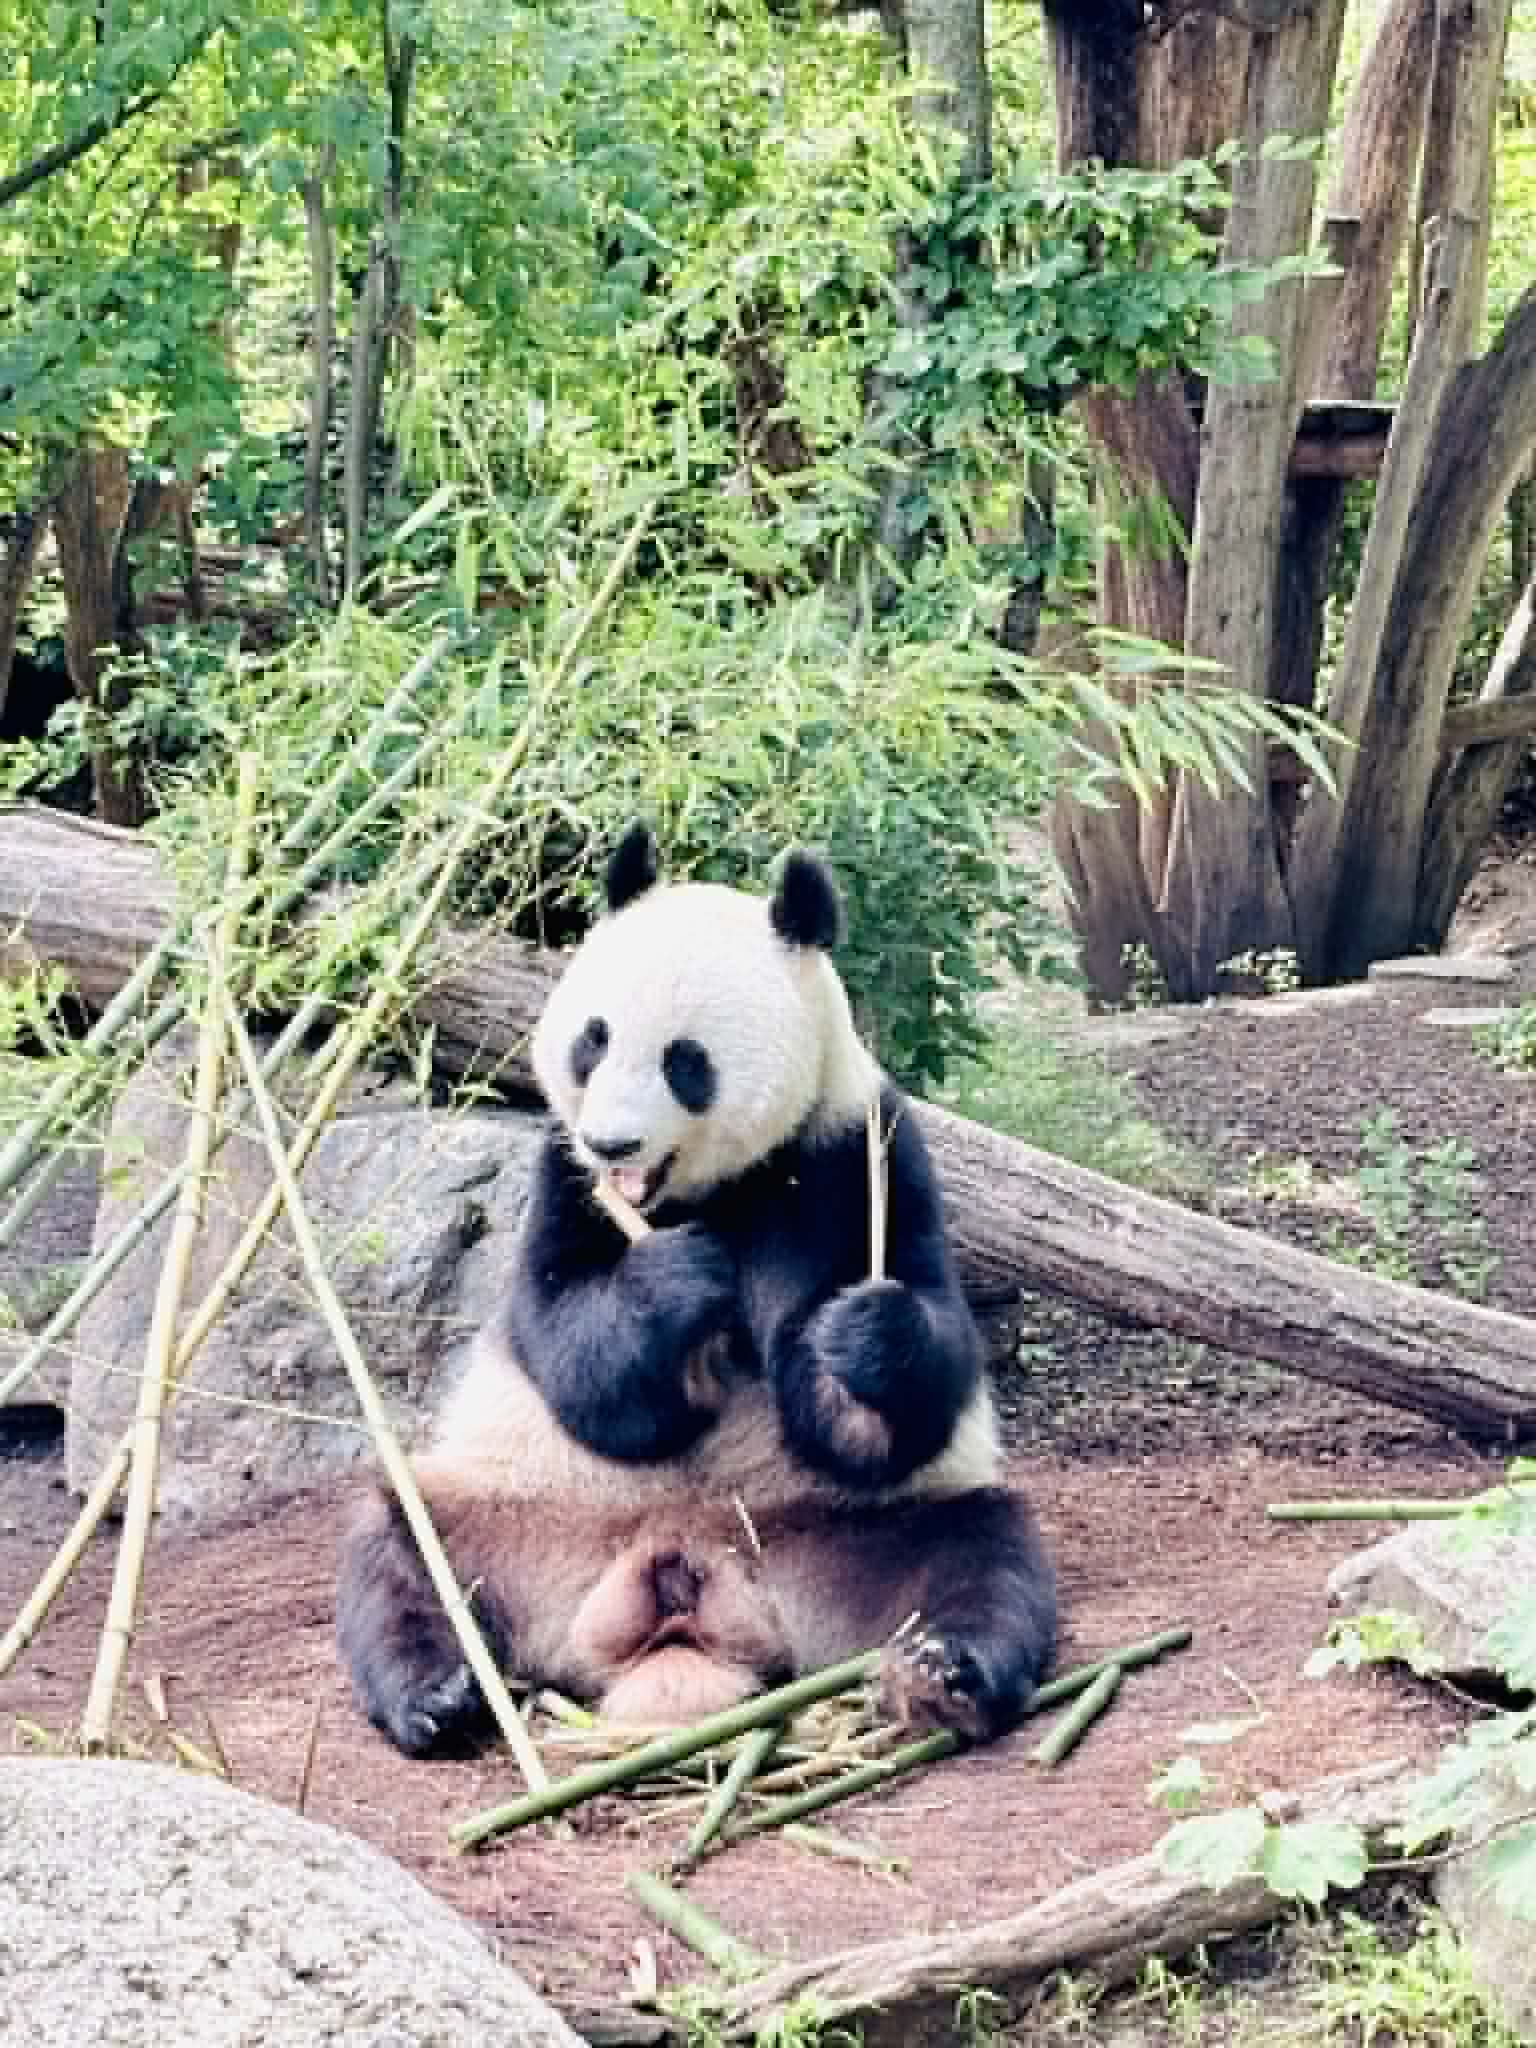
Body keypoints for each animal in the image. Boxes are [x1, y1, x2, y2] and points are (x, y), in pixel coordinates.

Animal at [336, 823, 1056, 1753]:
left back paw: (942, 1674)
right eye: (593, 1040)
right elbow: (569, 1346)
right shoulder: (561, 1175)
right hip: (512, 1513)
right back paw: (438, 1692)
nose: (612, 1143)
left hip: (846, 1535)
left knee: (981, 1552)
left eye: (686, 1061)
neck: (703, 1193)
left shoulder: (857, 1151)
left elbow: (906, 1377)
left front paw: (857, 1336)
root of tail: (682, 1580)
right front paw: (682, 1280)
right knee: (399, 1544)